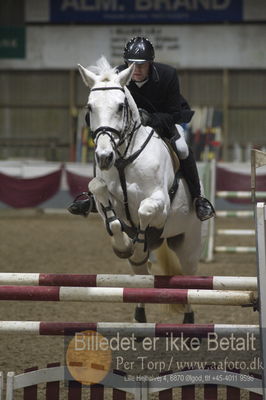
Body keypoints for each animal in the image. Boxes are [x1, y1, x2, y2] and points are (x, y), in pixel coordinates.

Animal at [78, 57, 203, 324]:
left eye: (120, 106)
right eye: (90, 107)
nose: (104, 157)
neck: (123, 159)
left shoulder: (160, 203)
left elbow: (145, 211)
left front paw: (138, 241)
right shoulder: (103, 200)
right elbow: (106, 204)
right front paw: (124, 246)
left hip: (188, 244)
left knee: (189, 279)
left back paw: (189, 322)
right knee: (140, 276)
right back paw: (139, 315)